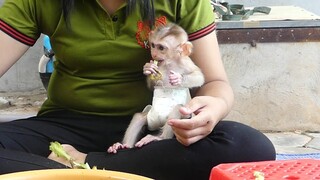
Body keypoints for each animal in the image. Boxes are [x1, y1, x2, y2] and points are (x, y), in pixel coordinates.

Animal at [106, 23, 204, 153]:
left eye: (161, 48)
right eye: (153, 45)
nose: (154, 54)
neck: (169, 63)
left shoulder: (185, 62)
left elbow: (199, 77)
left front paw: (178, 79)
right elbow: (152, 84)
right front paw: (148, 68)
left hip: (184, 117)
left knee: (177, 110)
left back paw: (159, 138)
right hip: (150, 118)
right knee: (139, 117)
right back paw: (124, 145)